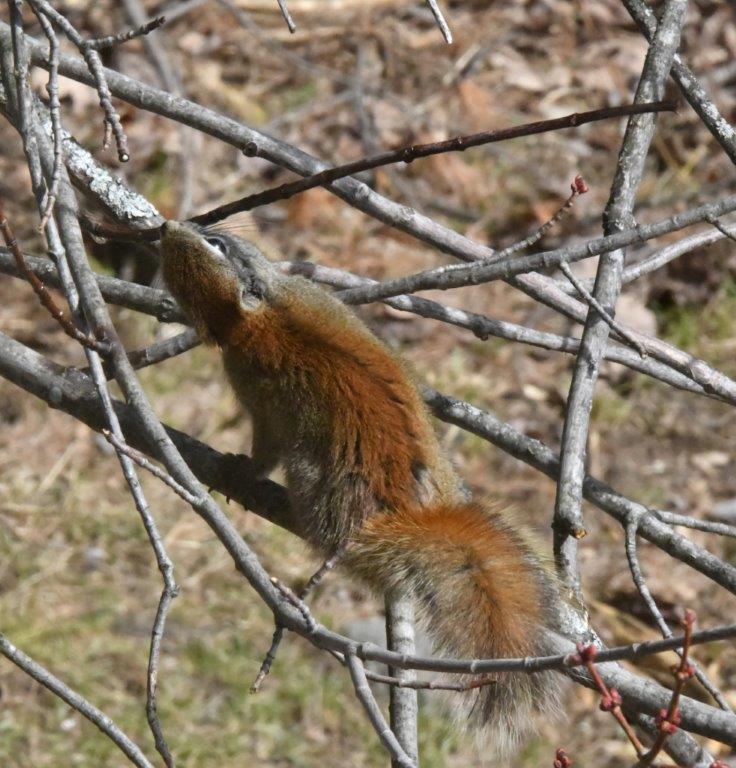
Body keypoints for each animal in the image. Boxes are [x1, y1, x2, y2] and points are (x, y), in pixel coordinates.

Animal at [159, 220, 562, 752]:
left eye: (216, 245)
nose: (166, 226)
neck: (262, 317)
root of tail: (407, 515)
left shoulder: (262, 396)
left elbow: (265, 449)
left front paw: (239, 469)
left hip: (313, 477)